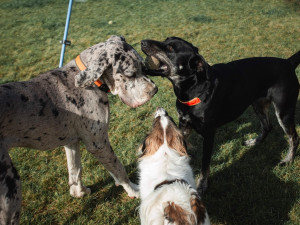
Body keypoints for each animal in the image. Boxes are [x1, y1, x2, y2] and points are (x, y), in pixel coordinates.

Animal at [0, 35, 158, 225]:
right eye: (130, 74)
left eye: (143, 67)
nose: (155, 90)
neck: (89, 83)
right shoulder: (98, 143)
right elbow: (118, 168)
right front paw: (133, 190)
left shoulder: (72, 142)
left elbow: (75, 169)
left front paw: (78, 192)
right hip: (11, 184)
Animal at [141, 36, 300, 192]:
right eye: (165, 40)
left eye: (170, 48)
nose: (142, 42)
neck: (194, 89)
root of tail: (288, 63)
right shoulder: (184, 125)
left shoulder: (209, 134)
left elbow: (205, 164)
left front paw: (202, 184)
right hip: (258, 104)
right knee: (267, 126)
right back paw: (254, 142)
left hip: (284, 111)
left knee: (294, 137)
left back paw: (288, 160)